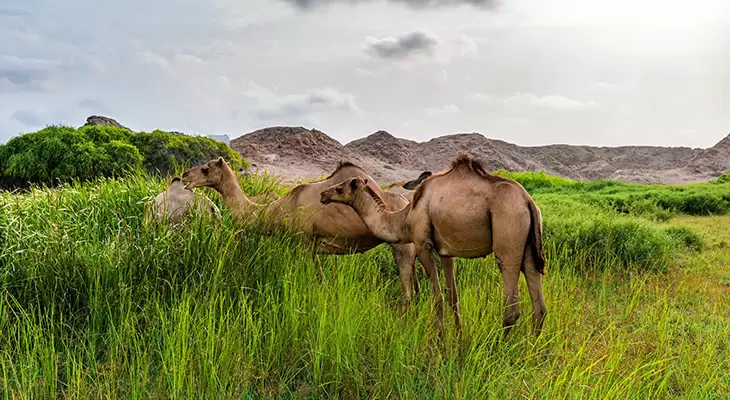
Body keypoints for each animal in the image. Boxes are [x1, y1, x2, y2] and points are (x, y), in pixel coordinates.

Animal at [318, 152, 544, 338]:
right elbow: (453, 297)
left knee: (511, 306)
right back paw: (531, 351)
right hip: (529, 247)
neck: (405, 218)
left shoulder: (422, 244)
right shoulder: (446, 252)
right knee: (539, 305)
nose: (322, 194)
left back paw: (498, 350)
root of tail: (528, 202)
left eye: (340, 187)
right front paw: (459, 340)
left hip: (509, 234)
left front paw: (440, 344)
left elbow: (438, 298)